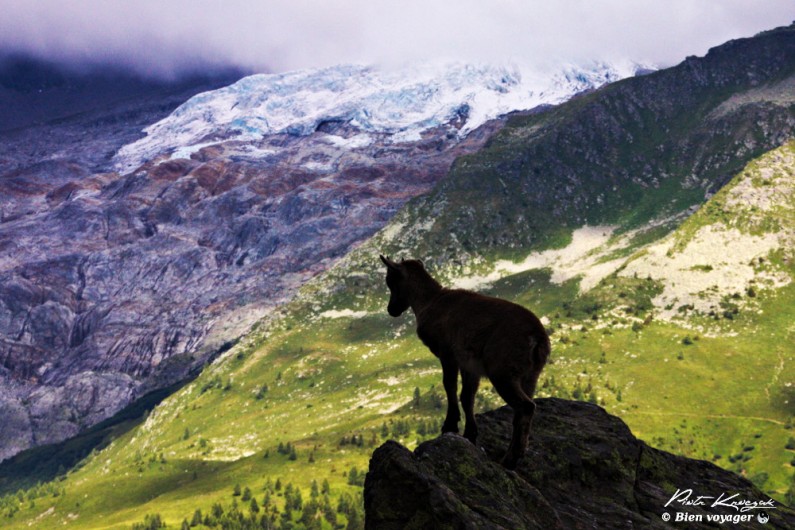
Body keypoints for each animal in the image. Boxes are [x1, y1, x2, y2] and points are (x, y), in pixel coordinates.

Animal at [379, 255, 549, 469]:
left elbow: (449, 386)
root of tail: (537, 338)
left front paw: (449, 425)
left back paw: (510, 459)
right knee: (524, 409)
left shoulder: (447, 353)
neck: (429, 301)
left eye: (391, 281)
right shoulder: (470, 365)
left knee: (525, 407)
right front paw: (470, 434)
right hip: (530, 374)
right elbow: (467, 396)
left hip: (502, 371)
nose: (391, 309)